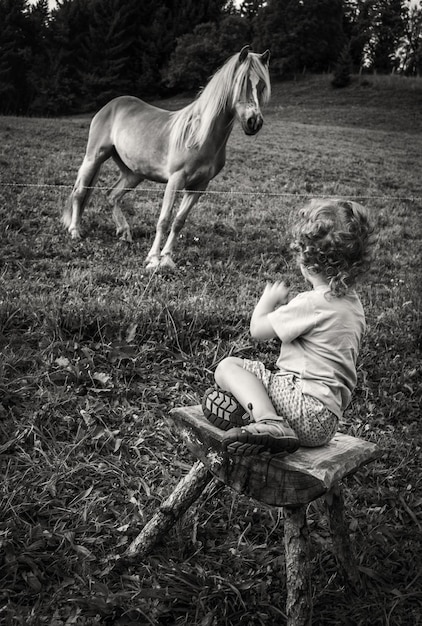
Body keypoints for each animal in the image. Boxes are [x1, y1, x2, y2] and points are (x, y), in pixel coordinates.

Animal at [62, 44, 270, 268]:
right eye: (241, 82)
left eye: (261, 86)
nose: (254, 122)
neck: (199, 135)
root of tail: (111, 105)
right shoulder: (175, 180)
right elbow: (164, 220)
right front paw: (153, 258)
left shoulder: (199, 186)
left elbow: (178, 222)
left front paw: (167, 258)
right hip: (94, 158)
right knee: (79, 192)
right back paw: (75, 231)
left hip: (133, 173)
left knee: (111, 195)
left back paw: (125, 233)